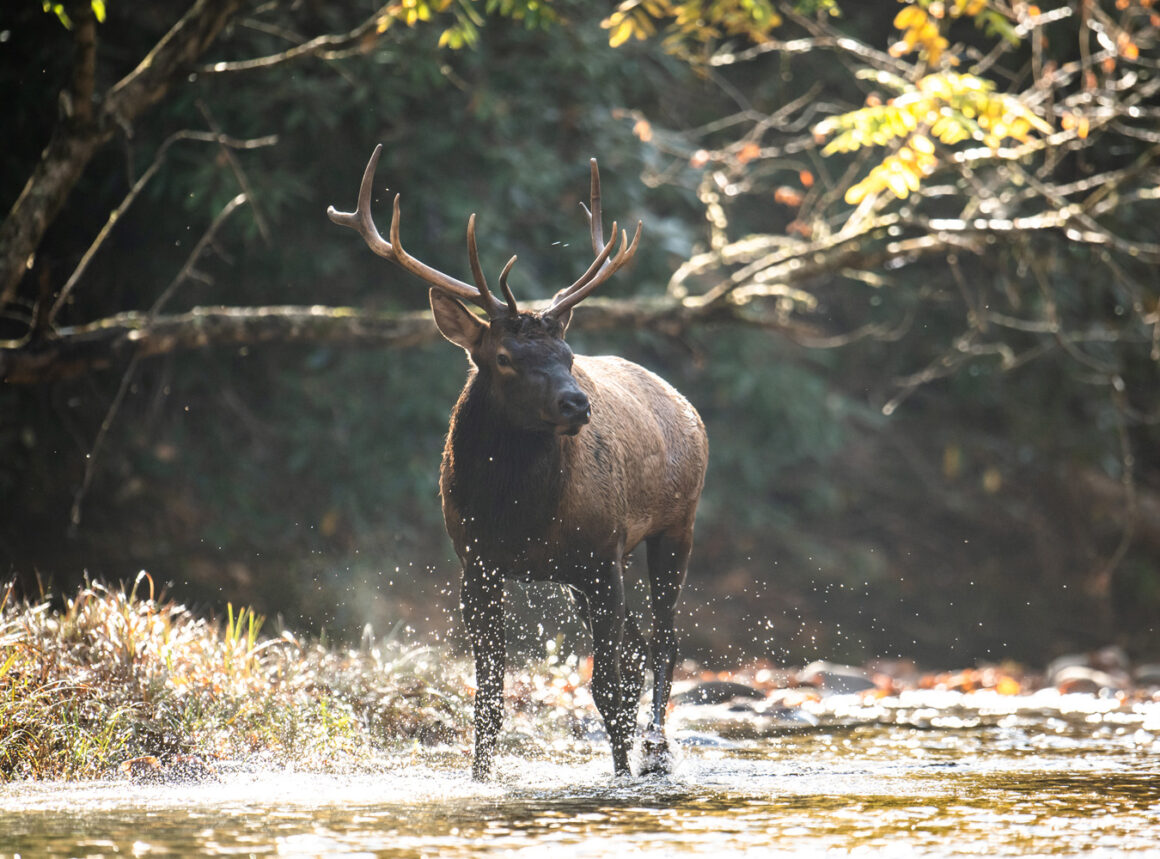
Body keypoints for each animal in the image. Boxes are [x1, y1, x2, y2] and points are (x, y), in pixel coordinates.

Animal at [327, 145, 708, 780]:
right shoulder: (477, 563)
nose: (576, 403)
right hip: (591, 574)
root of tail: (687, 406)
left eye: (568, 354)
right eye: (504, 356)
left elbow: (606, 689)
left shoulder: (600, 553)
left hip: (676, 526)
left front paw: (621, 777)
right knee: (638, 649)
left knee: (663, 642)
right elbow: (489, 698)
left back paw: (655, 750)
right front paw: (481, 779)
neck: (520, 517)